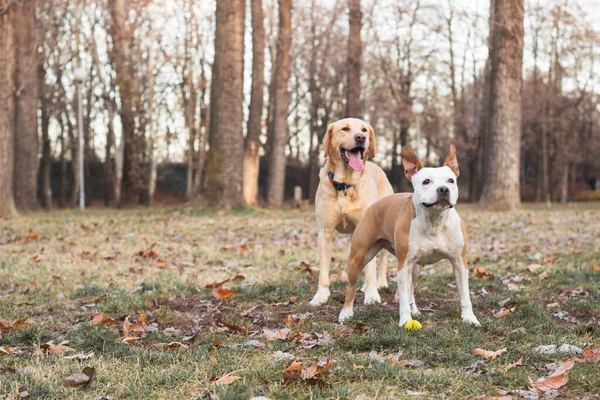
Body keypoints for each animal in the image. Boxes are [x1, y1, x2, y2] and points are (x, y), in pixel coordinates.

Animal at [310, 119, 394, 306]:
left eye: (364, 129)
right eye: (345, 128)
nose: (361, 137)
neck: (345, 184)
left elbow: (371, 269)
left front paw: (372, 295)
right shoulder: (325, 232)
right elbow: (323, 270)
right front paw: (320, 296)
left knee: (381, 260)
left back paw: (381, 283)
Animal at [340, 145, 480, 326]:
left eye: (450, 180)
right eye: (426, 181)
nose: (443, 189)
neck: (434, 220)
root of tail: (375, 204)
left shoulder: (459, 262)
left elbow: (465, 296)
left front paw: (470, 318)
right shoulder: (404, 265)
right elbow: (403, 297)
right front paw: (405, 320)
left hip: (415, 267)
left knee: (411, 287)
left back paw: (415, 309)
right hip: (359, 258)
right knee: (351, 286)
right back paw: (346, 313)